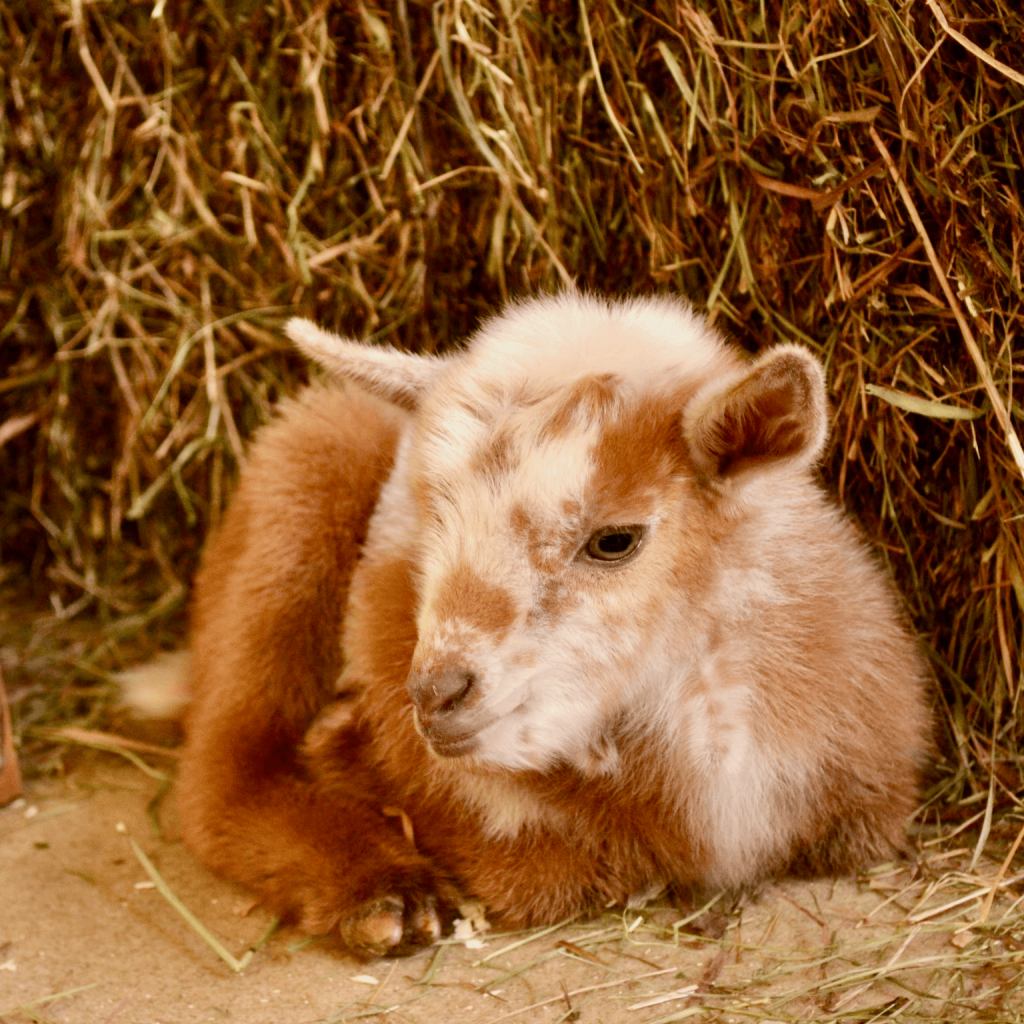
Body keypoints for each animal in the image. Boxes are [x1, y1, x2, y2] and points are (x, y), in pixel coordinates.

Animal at [177, 292, 931, 958]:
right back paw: (382, 896)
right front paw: (350, 765)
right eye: (432, 522)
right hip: (299, 485)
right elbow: (546, 872)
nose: (434, 694)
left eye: (615, 540)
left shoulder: (874, 803)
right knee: (224, 769)